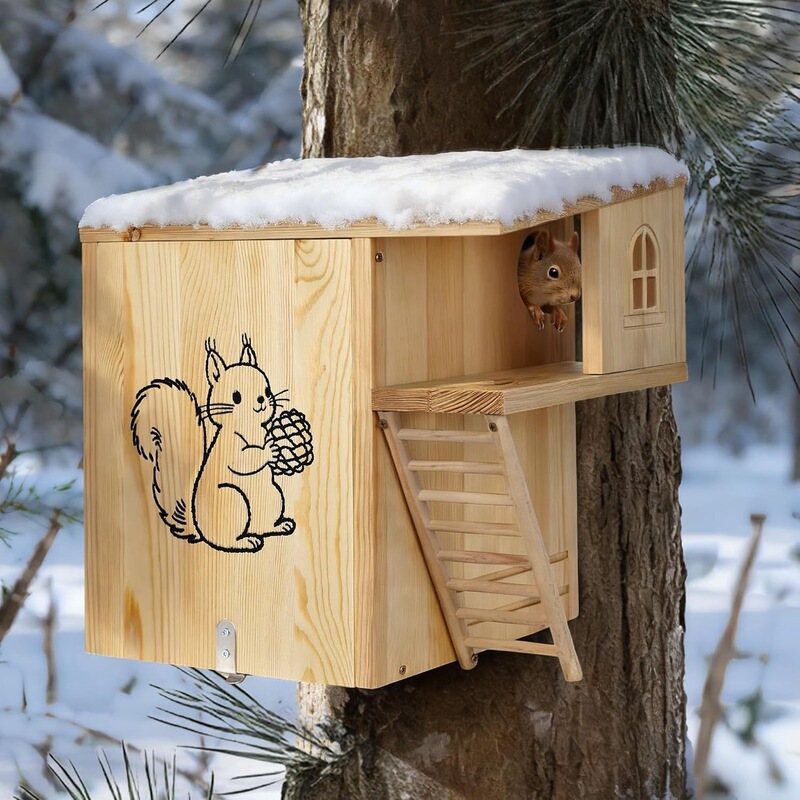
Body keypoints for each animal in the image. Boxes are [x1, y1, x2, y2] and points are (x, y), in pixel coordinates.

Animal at [131, 335, 313, 553]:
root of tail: (200, 529)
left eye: (267, 390)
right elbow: (243, 459)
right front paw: (270, 449)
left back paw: (279, 526)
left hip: (273, 495)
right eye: (236, 396)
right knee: (226, 540)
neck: (249, 427)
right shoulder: (230, 446)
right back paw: (246, 542)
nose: (262, 400)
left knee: (264, 526)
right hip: (233, 500)